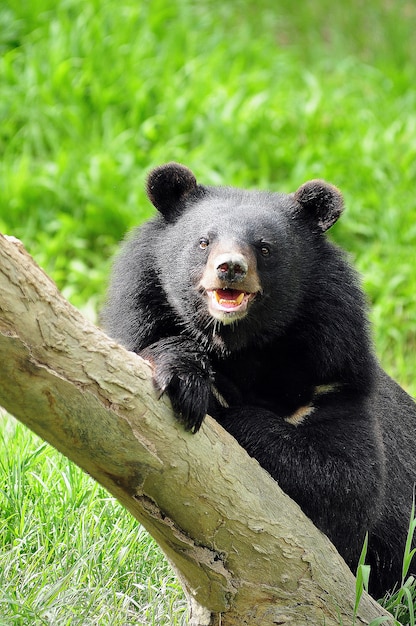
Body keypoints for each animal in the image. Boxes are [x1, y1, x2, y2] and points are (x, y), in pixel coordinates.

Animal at [102, 160, 414, 596]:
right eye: (204, 242)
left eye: (264, 248)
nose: (230, 268)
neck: (241, 347)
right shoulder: (141, 313)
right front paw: (188, 383)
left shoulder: (335, 379)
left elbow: (348, 483)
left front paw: (225, 407)